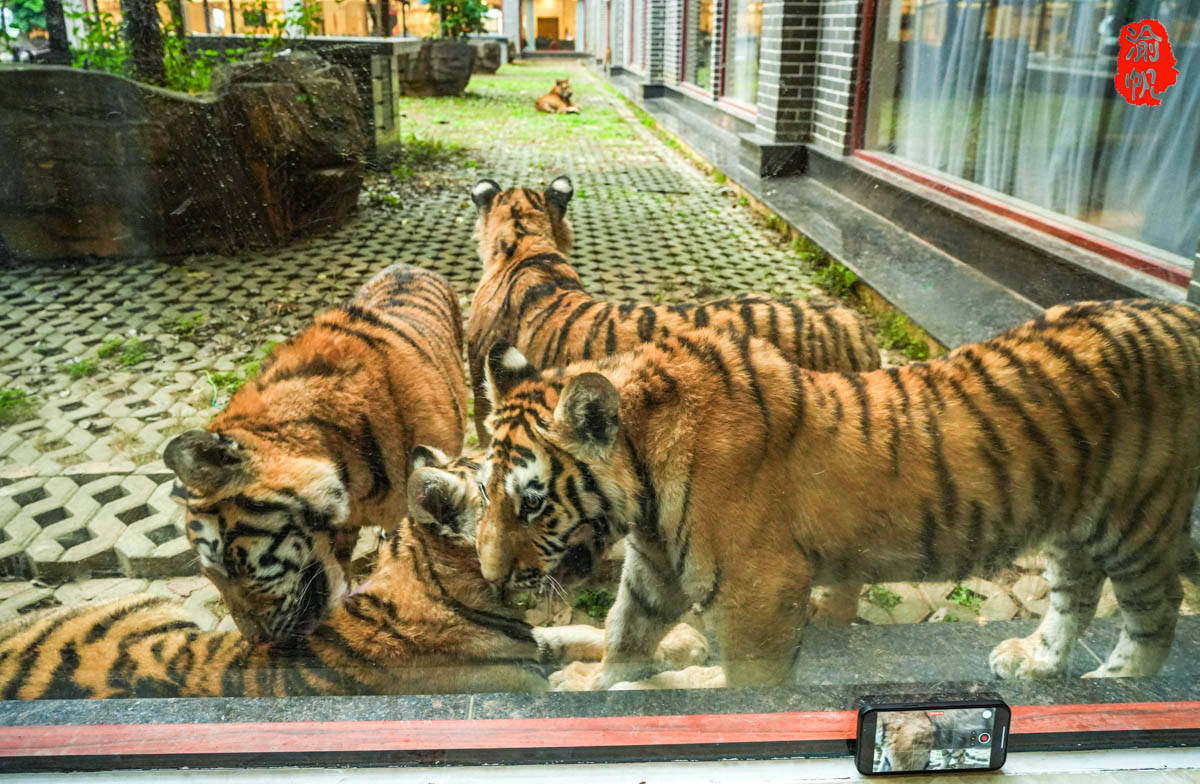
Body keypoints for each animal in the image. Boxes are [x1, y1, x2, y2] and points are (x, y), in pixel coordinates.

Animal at [0, 446, 705, 699]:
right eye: (524, 492)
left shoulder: (532, 641)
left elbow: (584, 637)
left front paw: (684, 641)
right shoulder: (522, 683)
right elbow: (619, 681)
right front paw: (690, 663)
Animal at [473, 299, 1200, 689]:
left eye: (533, 502)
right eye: (484, 493)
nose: (491, 577)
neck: (647, 480)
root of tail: (1177, 313)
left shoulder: (759, 593)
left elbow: (742, 683)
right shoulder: (656, 568)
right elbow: (625, 634)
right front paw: (598, 682)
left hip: (1136, 521)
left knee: (1156, 608)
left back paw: (1118, 684)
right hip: (1072, 524)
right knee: (1076, 595)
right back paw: (1036, 662)